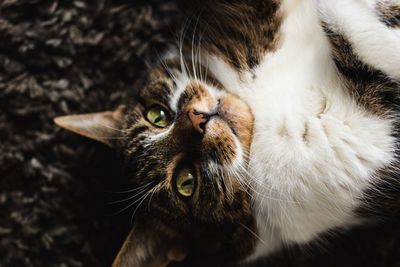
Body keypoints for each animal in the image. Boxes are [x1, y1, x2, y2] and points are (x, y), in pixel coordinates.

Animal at [54, 0, 400, 266]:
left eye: (158, 116)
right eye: (185, 182)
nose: (198, 120)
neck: (257, 105)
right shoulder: (356, 154)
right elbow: (354, 25)